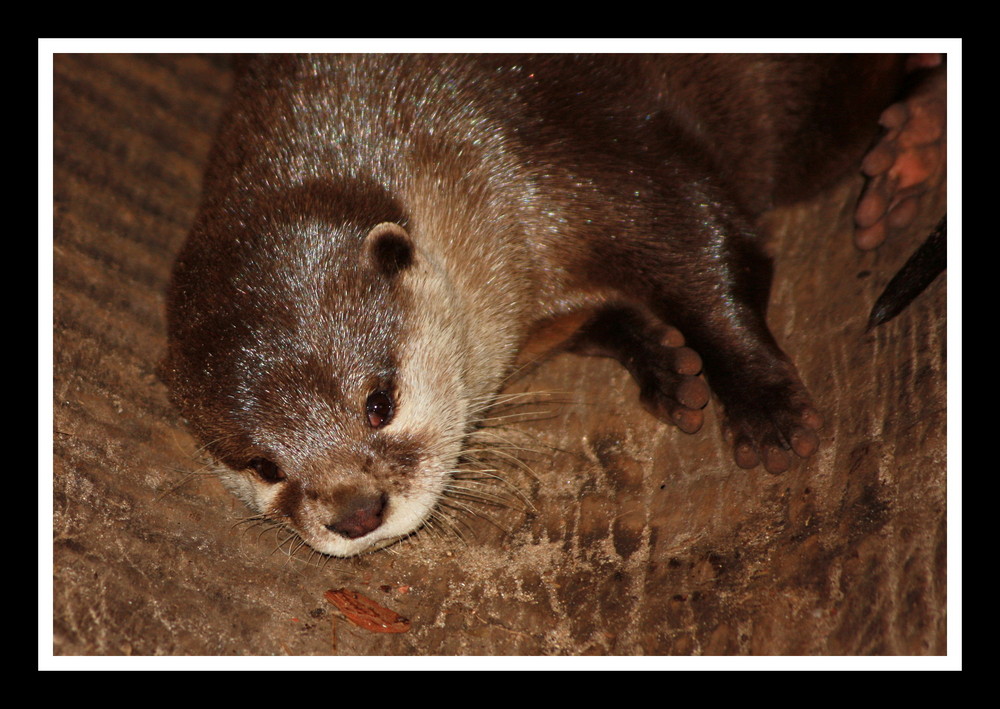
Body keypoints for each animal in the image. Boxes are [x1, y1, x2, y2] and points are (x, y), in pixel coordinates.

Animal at [162, 52, 944, 556]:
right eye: (263, 465)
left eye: (379, 402)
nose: (356, 513)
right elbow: (605, 315)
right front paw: (664, 362)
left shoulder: (574, 143)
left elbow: (704, 244)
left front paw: (764, 402)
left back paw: (910, 147)